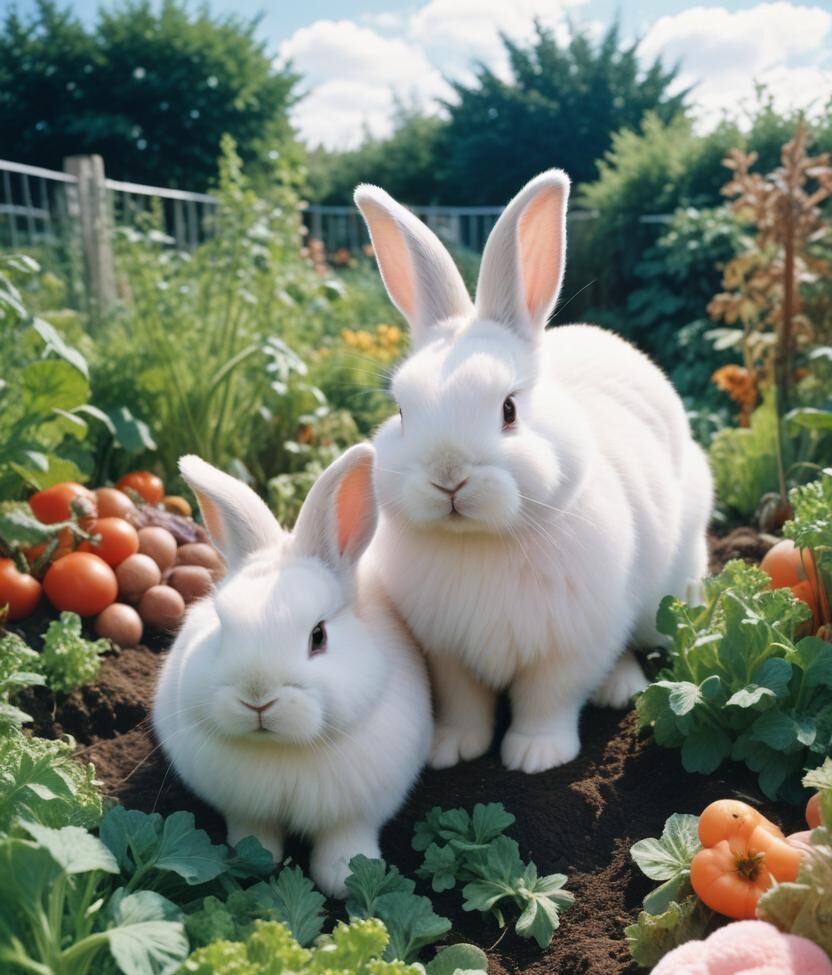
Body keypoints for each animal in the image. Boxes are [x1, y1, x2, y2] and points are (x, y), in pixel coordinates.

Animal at [152, 443, 432, 897]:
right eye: (221, 626)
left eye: (318, 636)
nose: (257, 698)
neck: (284, 751)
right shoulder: (244, 809)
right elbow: (254, 834)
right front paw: (254, 861)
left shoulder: (359, 809)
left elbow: (346, 839)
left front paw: (345, 878)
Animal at [354, 169, 713, 775]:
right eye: (403, 412)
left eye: (508, 409)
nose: (448, 476)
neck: (482, 544)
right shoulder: (446, 652)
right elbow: (463, 702)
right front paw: (451, 749)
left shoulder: (572, 646)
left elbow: (549, 698)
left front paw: (535, 756)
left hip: (662, 593)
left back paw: (618, 688)